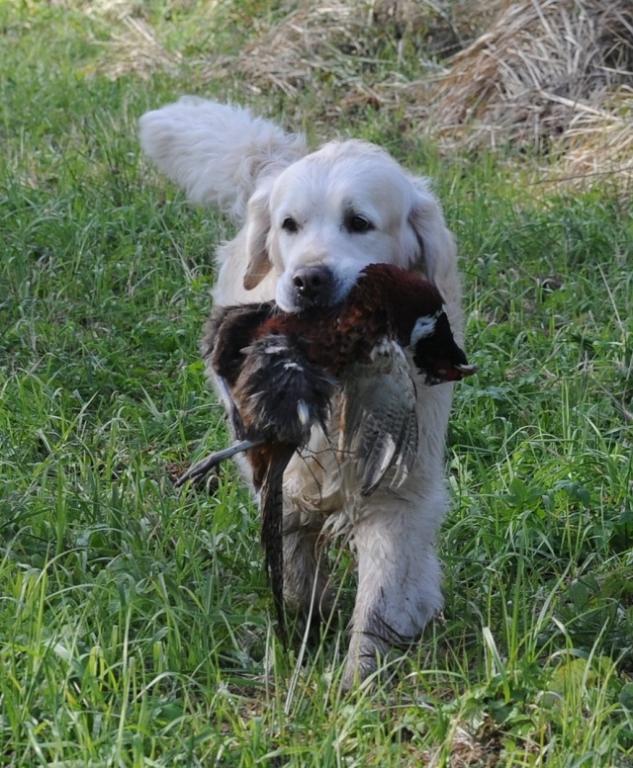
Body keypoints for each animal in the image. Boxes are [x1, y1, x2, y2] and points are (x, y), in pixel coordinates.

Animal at [139, 99, 464, 688]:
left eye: (359, 222)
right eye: (289, 225)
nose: (308, 281)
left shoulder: (400, 490)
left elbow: (381, 589)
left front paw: (359, 680)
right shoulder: (285, 483)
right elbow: (292, 562)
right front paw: (303, 624)